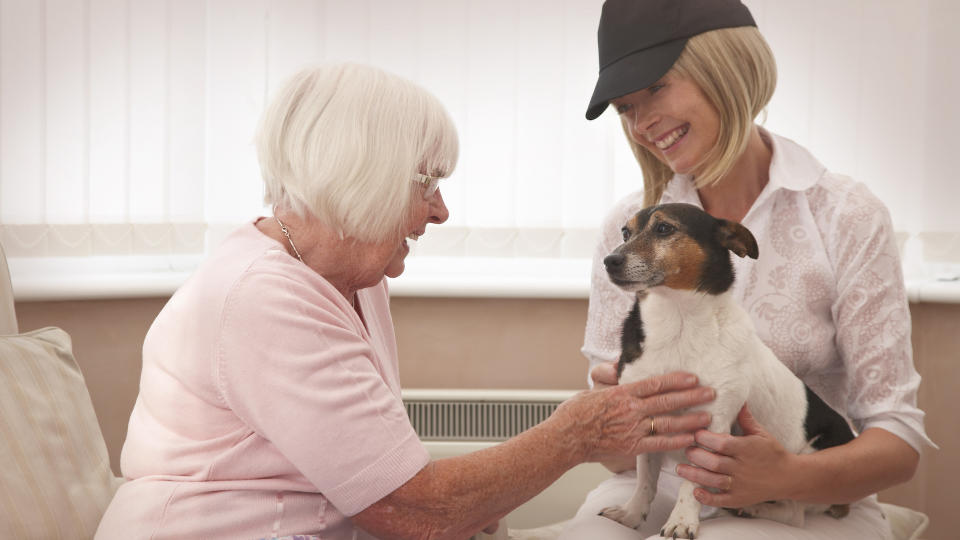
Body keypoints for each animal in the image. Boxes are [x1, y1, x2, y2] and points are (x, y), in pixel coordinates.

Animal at [600, 204, 856, 540]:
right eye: (625, 233)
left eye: (664, 229)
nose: (609, 261)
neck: (678, 323)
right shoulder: (646, 419)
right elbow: (645, 479)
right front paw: (631, 514)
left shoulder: (712, 426)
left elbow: (691, 482)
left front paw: (682, 520)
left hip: (809, 463)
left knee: (793, 513)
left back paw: (749, 508)